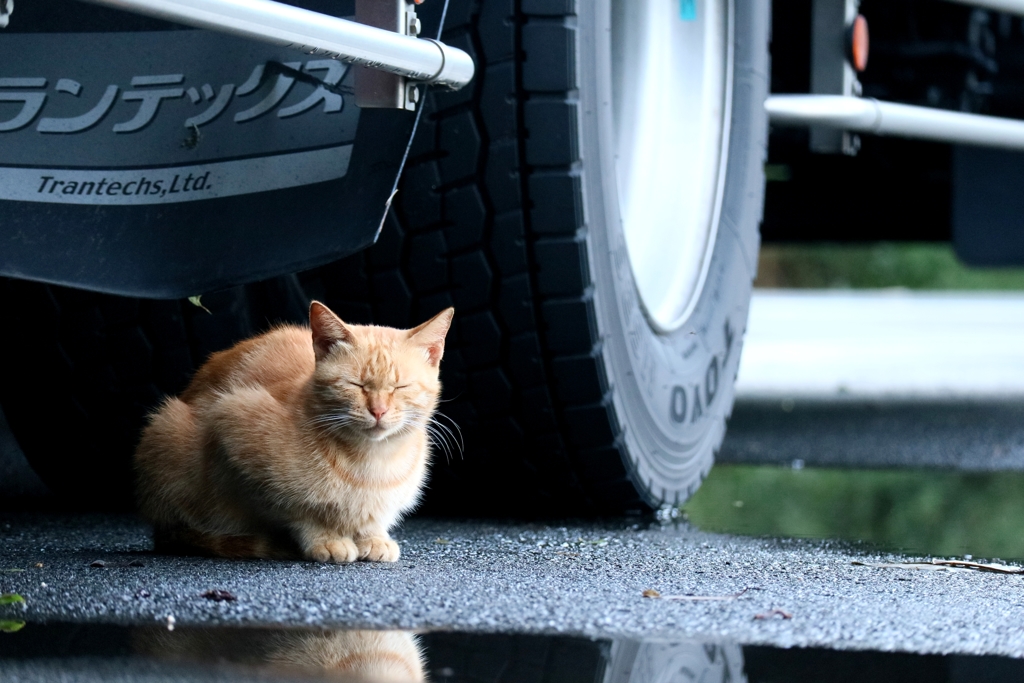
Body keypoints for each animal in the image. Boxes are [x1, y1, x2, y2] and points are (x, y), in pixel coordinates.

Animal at [133, 301, 452, 565]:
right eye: (356, 385)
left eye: (400, 387)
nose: (378, 411)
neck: (373, 462)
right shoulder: (232, 434)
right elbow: (298, 511)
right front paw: (326, 538)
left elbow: (371, 518)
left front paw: (372, 537)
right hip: (168, 430)